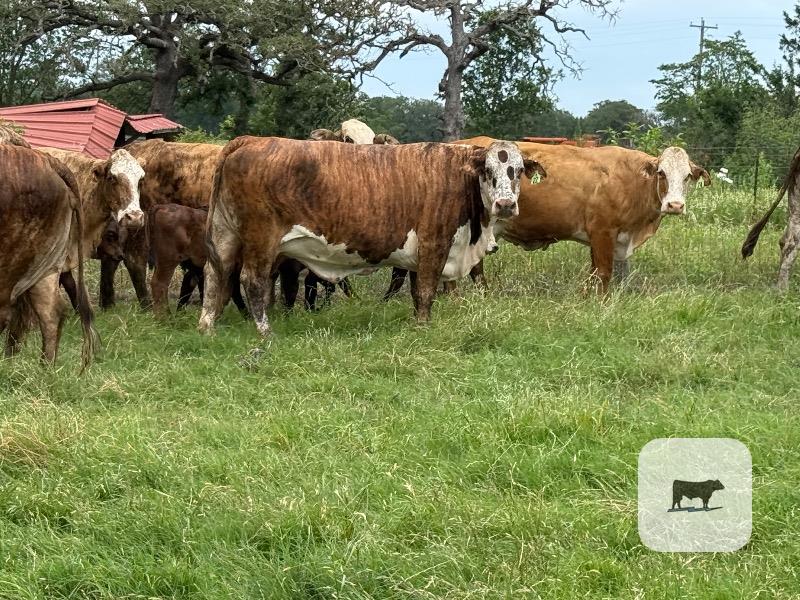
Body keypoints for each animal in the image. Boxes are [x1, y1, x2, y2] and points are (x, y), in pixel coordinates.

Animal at [198, 137, 544, 337]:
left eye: (517, 171)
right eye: (488, 171)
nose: (505, 204)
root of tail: (250, 140)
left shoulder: (418, 256)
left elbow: (417, 293)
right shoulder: (434, 243)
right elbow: (427, 291)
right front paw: (424, 328)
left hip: (225, 233)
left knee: (215, 274)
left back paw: (207, 326)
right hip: (262, 238)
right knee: (252, 280)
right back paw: (265, 331)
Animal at [386, 137, 710, 296]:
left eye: (688, 177)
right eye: (662, 173)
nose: (675, 205)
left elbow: (595, 274)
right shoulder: (602, 232)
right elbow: (603, 275)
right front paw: (600, 304)